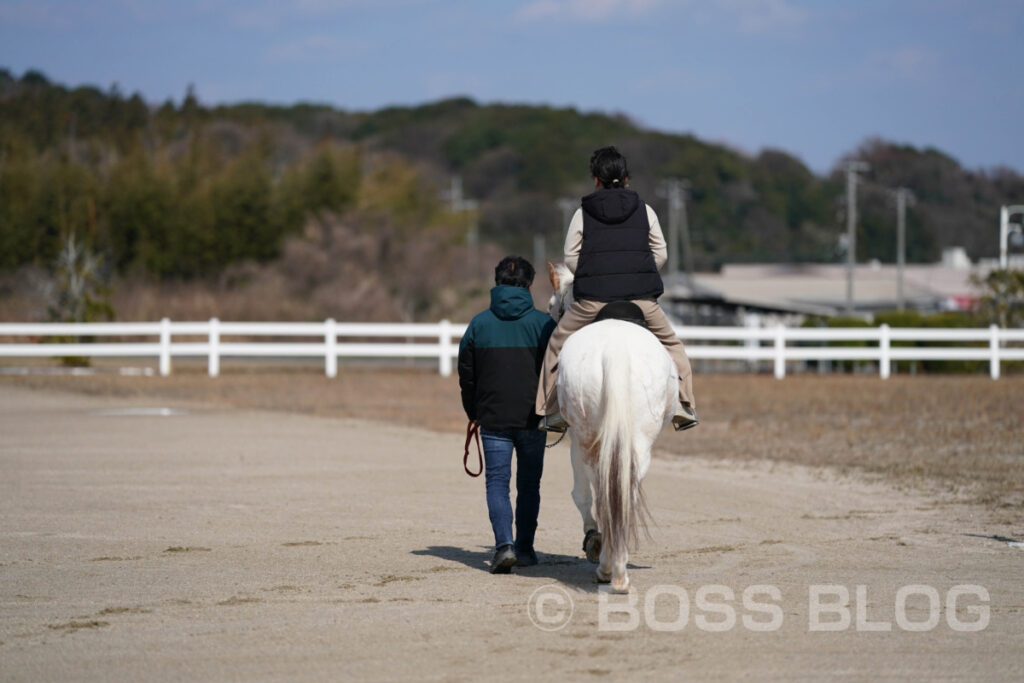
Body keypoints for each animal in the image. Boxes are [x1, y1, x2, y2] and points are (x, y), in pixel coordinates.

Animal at [548, 262, 675, 593]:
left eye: (552, 306)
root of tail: (616, 350)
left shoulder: (575, 442)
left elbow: (581, 494)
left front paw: (593, 539)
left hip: (587, 438)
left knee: (603, 489)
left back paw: (607, 566)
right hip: (640, 441)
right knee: (626, 492)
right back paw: (618, 567)